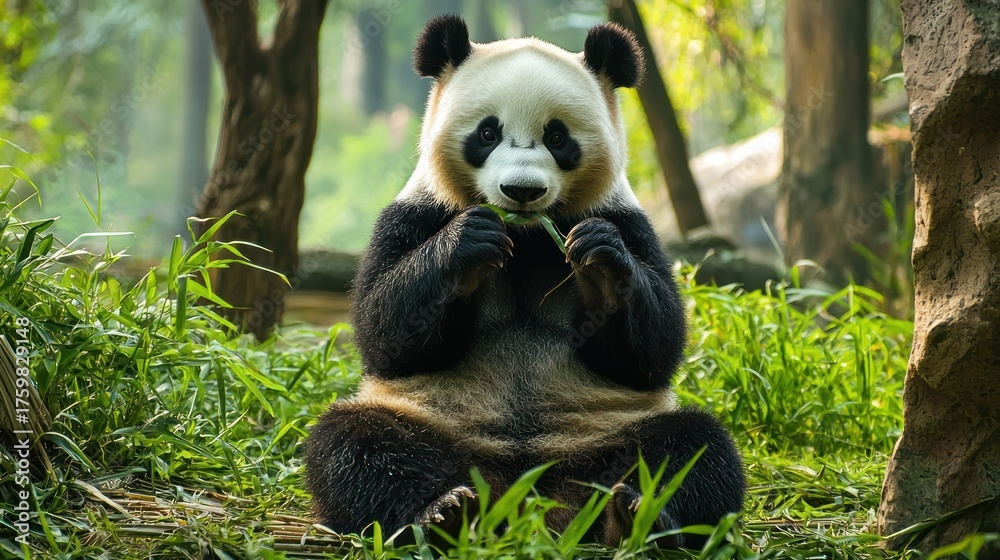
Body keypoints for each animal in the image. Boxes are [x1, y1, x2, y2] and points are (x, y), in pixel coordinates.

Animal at [306, 15, 745, 549]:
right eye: (487, 132)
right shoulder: (415, 215)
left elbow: (649, 354)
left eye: (557, 136)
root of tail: (524, 497)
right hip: (435, 421)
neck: (527, 233)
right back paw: (444, 513)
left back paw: (636, 515)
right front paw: (469, 241)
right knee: (355, 444)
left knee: (694, 450)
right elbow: (386, 336)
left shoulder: (630, 223)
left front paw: (600, 257)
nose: (521, 190)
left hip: (606, 431)